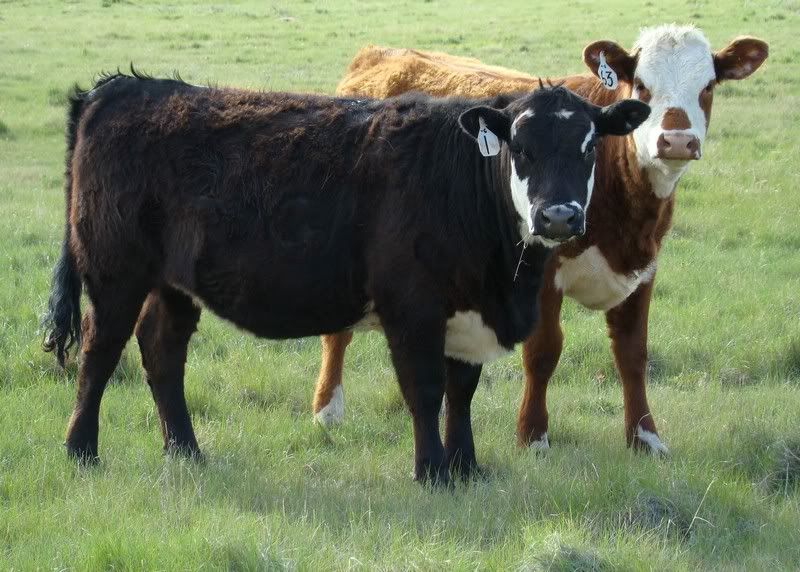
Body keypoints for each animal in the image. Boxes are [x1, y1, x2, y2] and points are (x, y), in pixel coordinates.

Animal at [42, 71, 649, 484]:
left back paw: (186, 450)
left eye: (589, 146)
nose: (559, 216)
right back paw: (80, 450)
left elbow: (462, 390)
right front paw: (432, 471)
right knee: (100, 350)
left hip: (172, 282)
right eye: (520, 147)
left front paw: (467, 468)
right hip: (115, 270)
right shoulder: (413, 307)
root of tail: (124, 87)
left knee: (161, 351)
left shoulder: (465, 309)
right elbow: (426, 390)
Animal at [311, 25, 769, 455]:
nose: (676, 141)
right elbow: (543, 352)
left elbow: (633, 354)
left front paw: (645, 437)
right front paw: (533, 435)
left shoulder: (643, 270)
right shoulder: (541, 277)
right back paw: (327, 410)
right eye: (641, 85)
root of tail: (379, 55)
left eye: (707, 86)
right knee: (337, 333)